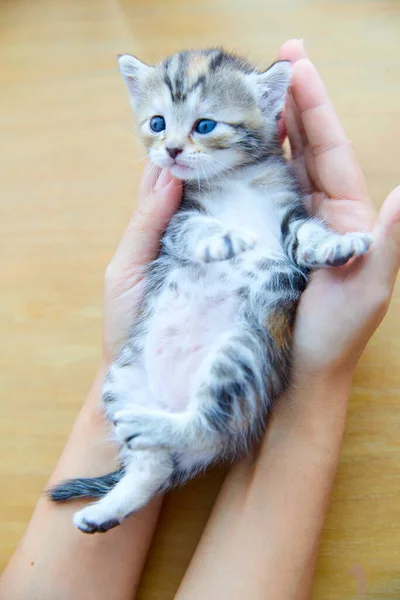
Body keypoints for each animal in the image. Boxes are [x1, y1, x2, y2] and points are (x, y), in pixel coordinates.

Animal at [49, 48, 372, 536]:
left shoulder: (290, 219)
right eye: (157, 122)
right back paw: (109, 503)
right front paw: (224, 239)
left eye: (204, 125)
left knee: (201, 429)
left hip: (239, 353)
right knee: (159, 461)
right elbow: (198, 228)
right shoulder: (177, 220)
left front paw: (339, 245)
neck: (237, 178)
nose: (171, 150)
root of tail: (168, 403)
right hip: (123, 379)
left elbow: (310, 235)